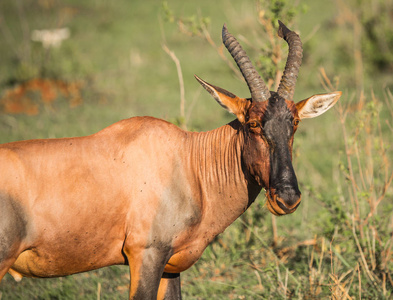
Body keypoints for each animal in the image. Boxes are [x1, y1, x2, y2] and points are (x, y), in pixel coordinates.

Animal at [0, 21, 340, 298]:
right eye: (253, 124)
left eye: (294, 123)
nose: (287, 198)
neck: (187, 160)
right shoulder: (145, 256)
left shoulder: (170, 265)